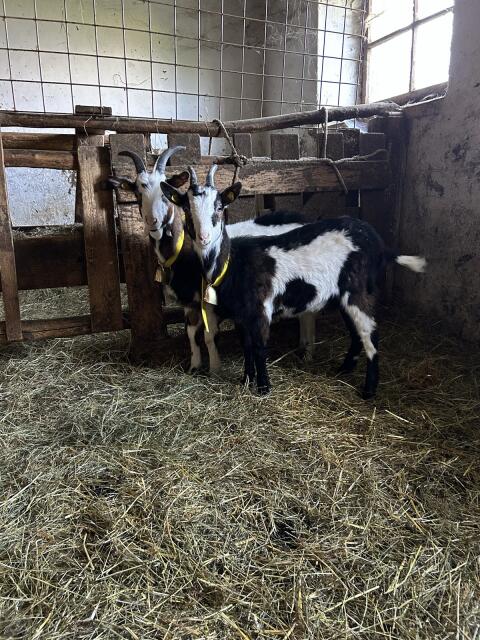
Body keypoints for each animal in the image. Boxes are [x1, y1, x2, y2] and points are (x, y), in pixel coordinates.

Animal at [109, 150, 316, 372]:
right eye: (137, 193)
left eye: (164, 196)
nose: (152, 222)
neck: (184, 254)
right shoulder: (189, 303)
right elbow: (191, 334)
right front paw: (194, 366)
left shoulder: (208, 302)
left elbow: (209, 335)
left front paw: (215, 368)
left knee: (308, 314)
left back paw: (307, 353)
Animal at [160, 165, 427, 398]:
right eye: (186, 208)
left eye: (219, 207)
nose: (204, 238)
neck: (233, 262)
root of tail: (380, 245)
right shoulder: (240, 314)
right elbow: (246, 346)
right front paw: (246, 380)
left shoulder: (261, 309)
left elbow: (259, 347)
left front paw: (263, 388)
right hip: (344, 297)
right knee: (356, 333)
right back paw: (344, 369)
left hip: (359, 292)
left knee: (370, 334)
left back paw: (369, 391)